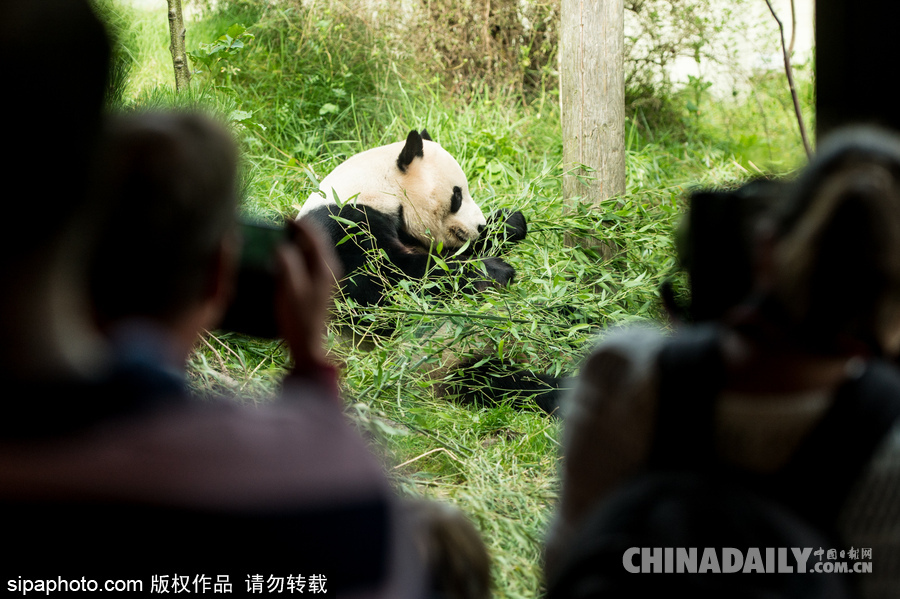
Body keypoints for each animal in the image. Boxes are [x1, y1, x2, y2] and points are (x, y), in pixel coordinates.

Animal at [298, 129, 560, 414]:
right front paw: (496, 269)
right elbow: (381, 288)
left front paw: (509, 222)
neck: (377, 189)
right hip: (439, 359)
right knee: (493, 382)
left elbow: (453, 252)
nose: (479, 225)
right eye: (457, 196)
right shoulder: (342, 227)